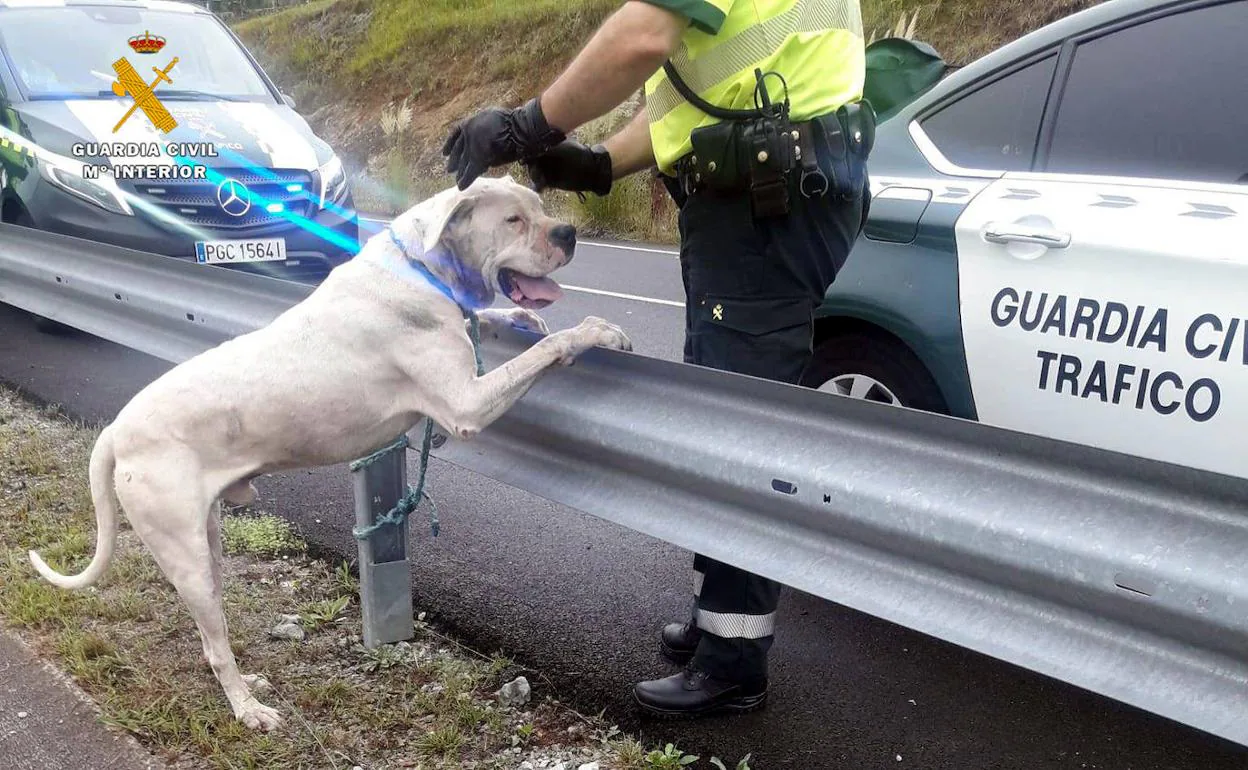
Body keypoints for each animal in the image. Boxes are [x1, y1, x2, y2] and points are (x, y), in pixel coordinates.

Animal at [26, 175, 633, 733]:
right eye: (512, 220)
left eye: (539, 206)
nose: (568, 231)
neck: (422, 266)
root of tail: (115, 429)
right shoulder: (467, 403)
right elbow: (549, 349)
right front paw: (594, 330)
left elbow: (501, 323)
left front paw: (522, 320)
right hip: (185, 554)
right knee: (215, 642)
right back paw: (249, 710)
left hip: (208, 542)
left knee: (208, 634)